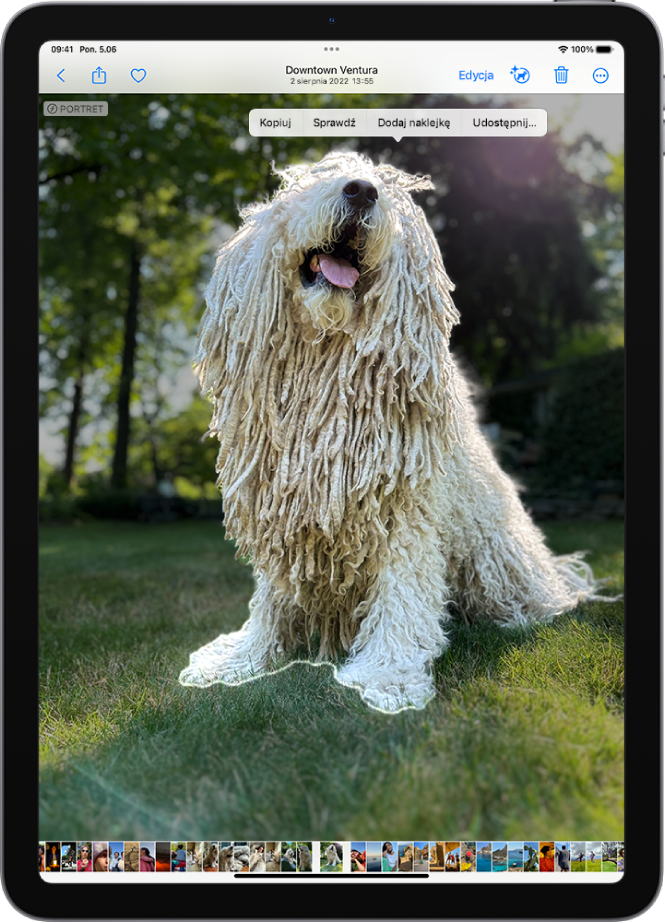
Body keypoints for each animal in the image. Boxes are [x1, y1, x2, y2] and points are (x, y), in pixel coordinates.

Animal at [178, 150, 612, 716]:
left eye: (384, 189)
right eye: (315, 178)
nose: (362, 190)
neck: (327, 364)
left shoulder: (405, 512)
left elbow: (401, 591)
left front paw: (388, 675)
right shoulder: (286, 506)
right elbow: (274, 596)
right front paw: (245, 659)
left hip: (494, 556)